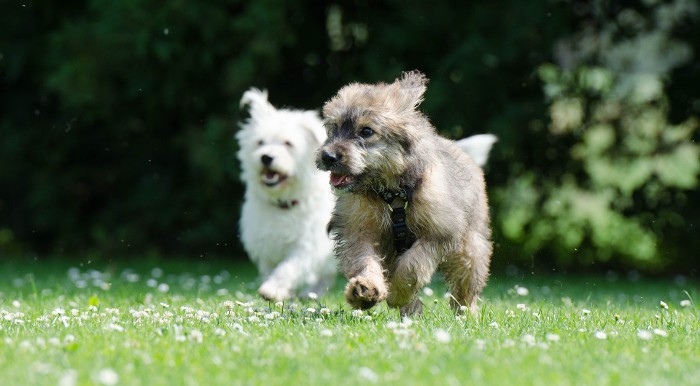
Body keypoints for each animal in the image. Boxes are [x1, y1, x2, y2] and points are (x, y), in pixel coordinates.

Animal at [235, 89, 336, 300]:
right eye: (260, 142)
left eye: (288, 144)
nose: (266, 157)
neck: (284, 202)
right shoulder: (267, 246)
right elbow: (271, 269)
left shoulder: (306, 246)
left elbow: (288, 268)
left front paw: (272, 289)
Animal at [318, 71, 492, 316]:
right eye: (334, 127)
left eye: (366, 131)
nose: (328, 156)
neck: (391, 195)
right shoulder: (359, 230)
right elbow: (364, 260)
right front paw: (366, 288)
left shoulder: (439, 232)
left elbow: (412, 266)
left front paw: (397, 293)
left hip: (471, 248)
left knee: (465, 286)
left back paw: (466, 314)